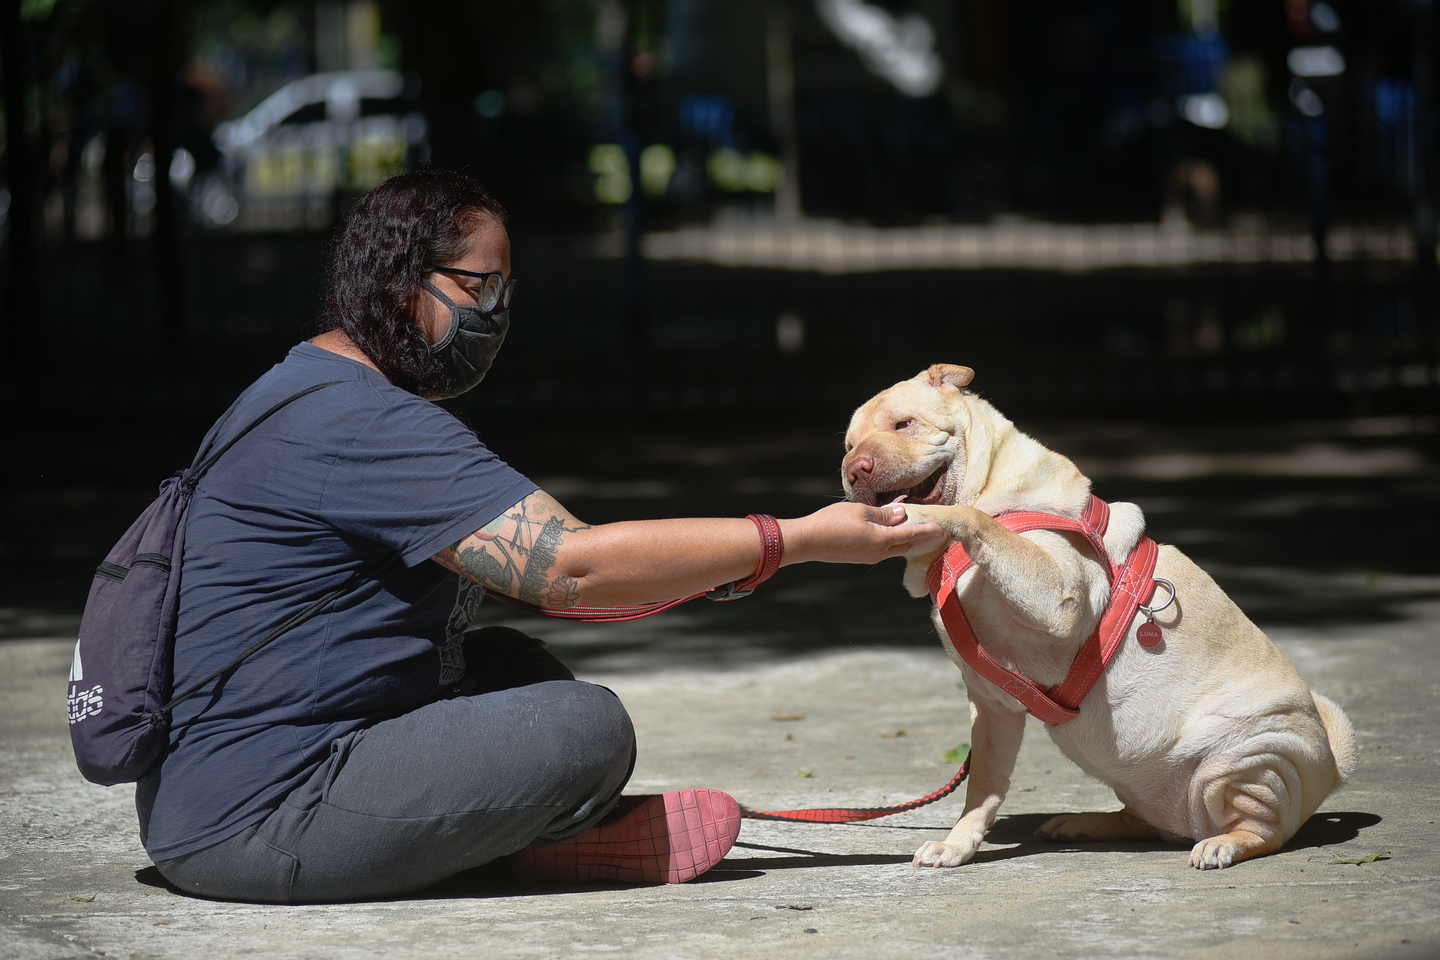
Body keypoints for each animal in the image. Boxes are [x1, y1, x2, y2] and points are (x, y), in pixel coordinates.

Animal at [840, 365, 1353, 869]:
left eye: (904, 425)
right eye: (847, 446)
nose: (854, 471)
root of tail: (1331, 767)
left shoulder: (1057, 594)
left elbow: (976, 521)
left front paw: (928, 517)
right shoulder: (992, 709)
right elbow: (982, 789)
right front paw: (958, 844)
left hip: (1250, 758)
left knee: (1265, 830)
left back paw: (1223, 844)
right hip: (1147, 784)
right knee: (1141, 820)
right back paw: (1085, 823)